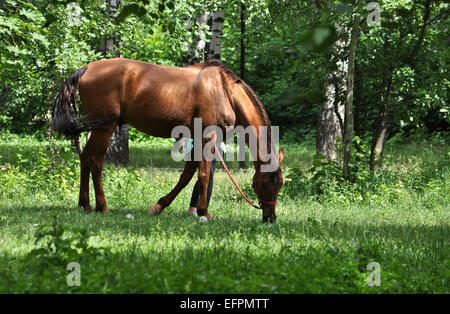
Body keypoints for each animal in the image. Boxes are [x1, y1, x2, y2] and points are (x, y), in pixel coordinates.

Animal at [52, 57, 284, 222]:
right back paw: (102, 206)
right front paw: (204, 213)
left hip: (97, 128)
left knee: (85, 158)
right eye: (264, 182)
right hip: (105, 128)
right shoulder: (207, 138)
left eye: (280, 183)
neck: (224, 90)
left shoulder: (197, 139)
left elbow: (186, 176)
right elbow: (203, 175)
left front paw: (159, 206)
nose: (270, 217)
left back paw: (85, 204)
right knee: (96, 162)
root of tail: (87, 68)